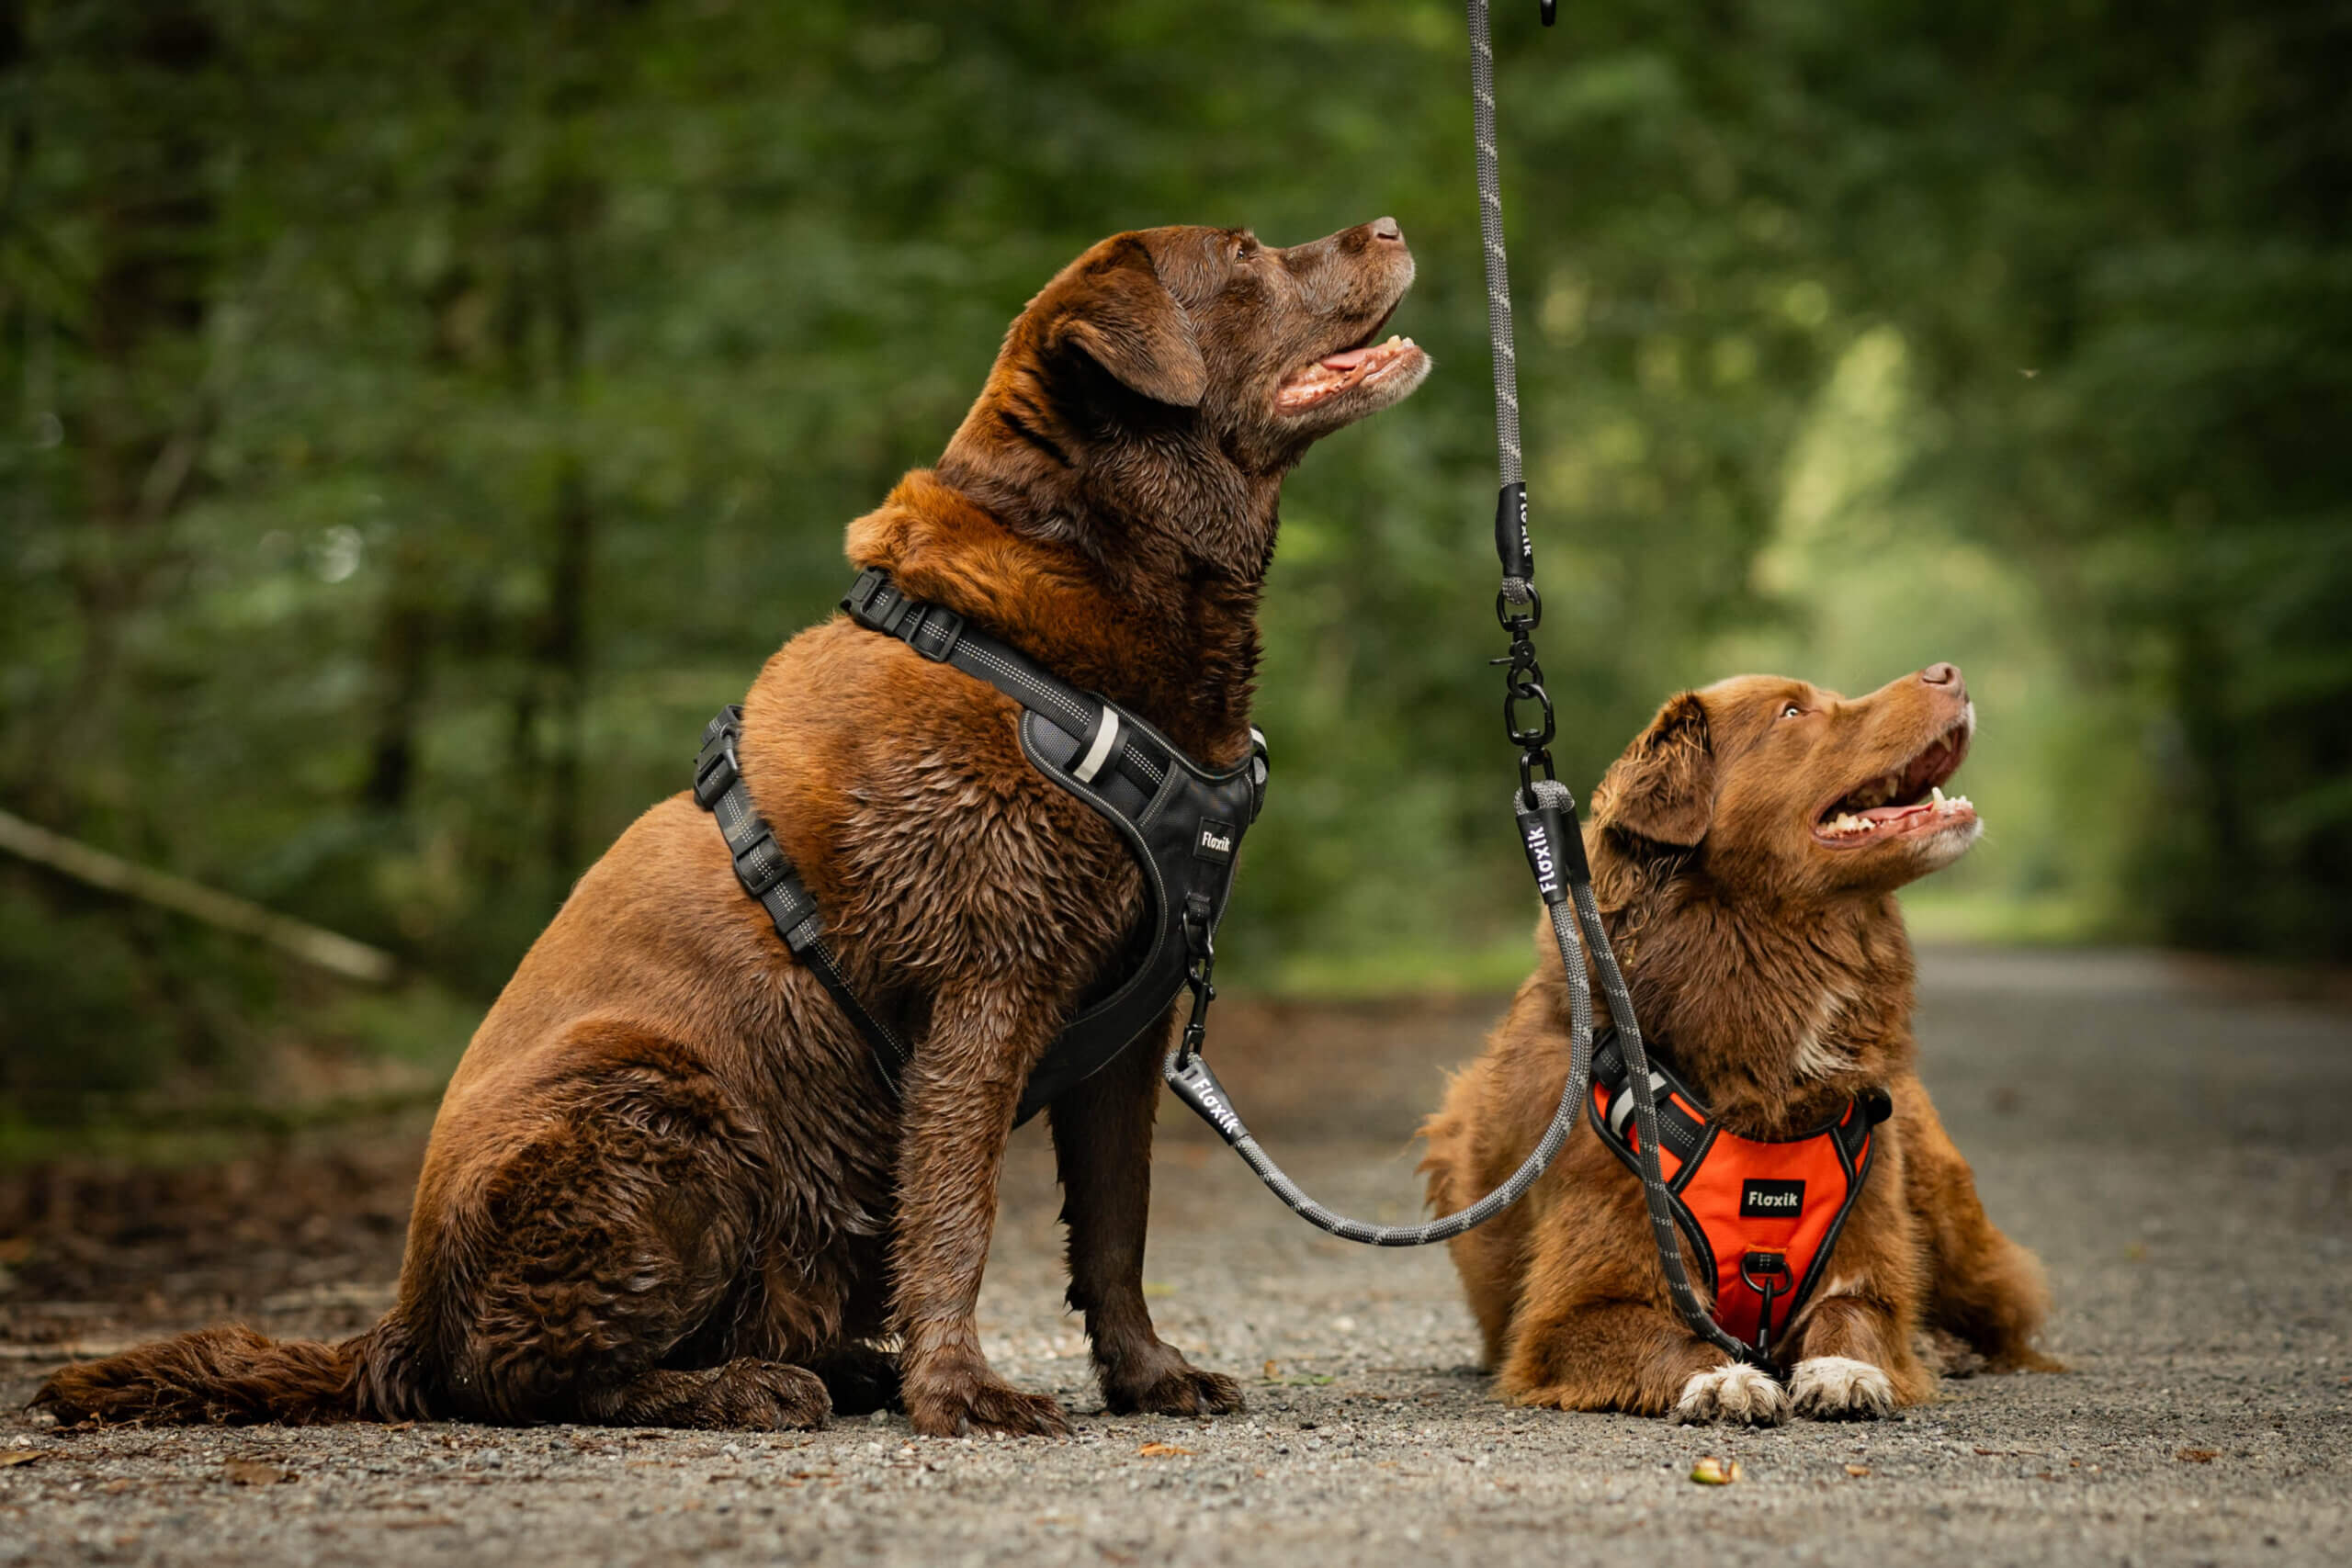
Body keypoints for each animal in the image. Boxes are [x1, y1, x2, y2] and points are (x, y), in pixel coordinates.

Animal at [37, 217, 1430, 1438]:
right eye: (1245, 255)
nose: (1391, 225)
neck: (1074, 611)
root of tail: (399, 1323)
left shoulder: (1128, 1034)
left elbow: (1118, 1228)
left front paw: (1144, 1376)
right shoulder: (985, 986)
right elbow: (958, 1215)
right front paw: (961, 1392)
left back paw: (832, 1364)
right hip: (663, 1106)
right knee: (522, 1374)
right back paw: (744, 1388)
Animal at [1411, 667, 2060, 1429]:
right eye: (1792, 712)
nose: (1947, 673)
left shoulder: (1866, 1253)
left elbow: (1857, 1314)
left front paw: (1844, 1368)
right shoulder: (1570, 1311)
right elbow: (1661, 1334)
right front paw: (1723, 1377)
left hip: (1942, 1200)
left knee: (2003, 1312)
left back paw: (1943, 1344)